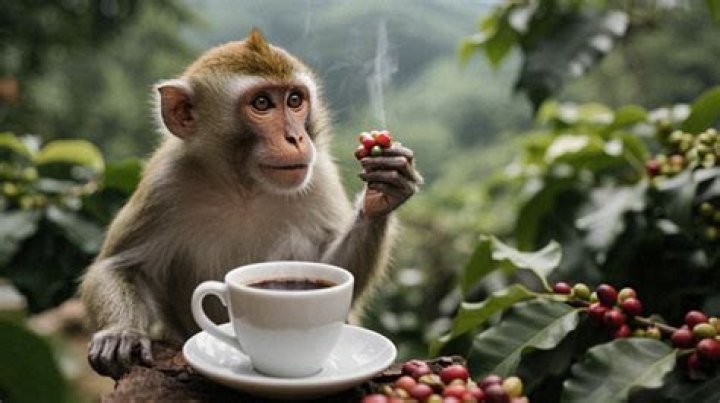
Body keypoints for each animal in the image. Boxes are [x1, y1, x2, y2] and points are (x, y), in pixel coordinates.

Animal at [80, 29, 422, 379]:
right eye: (262, 103)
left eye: (294, 100)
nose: (296, 138)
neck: (244, 186)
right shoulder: (164, 184)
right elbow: (120, 266)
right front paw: (121, 333)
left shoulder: (319, 177)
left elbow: (333, 268)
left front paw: (383, 193)